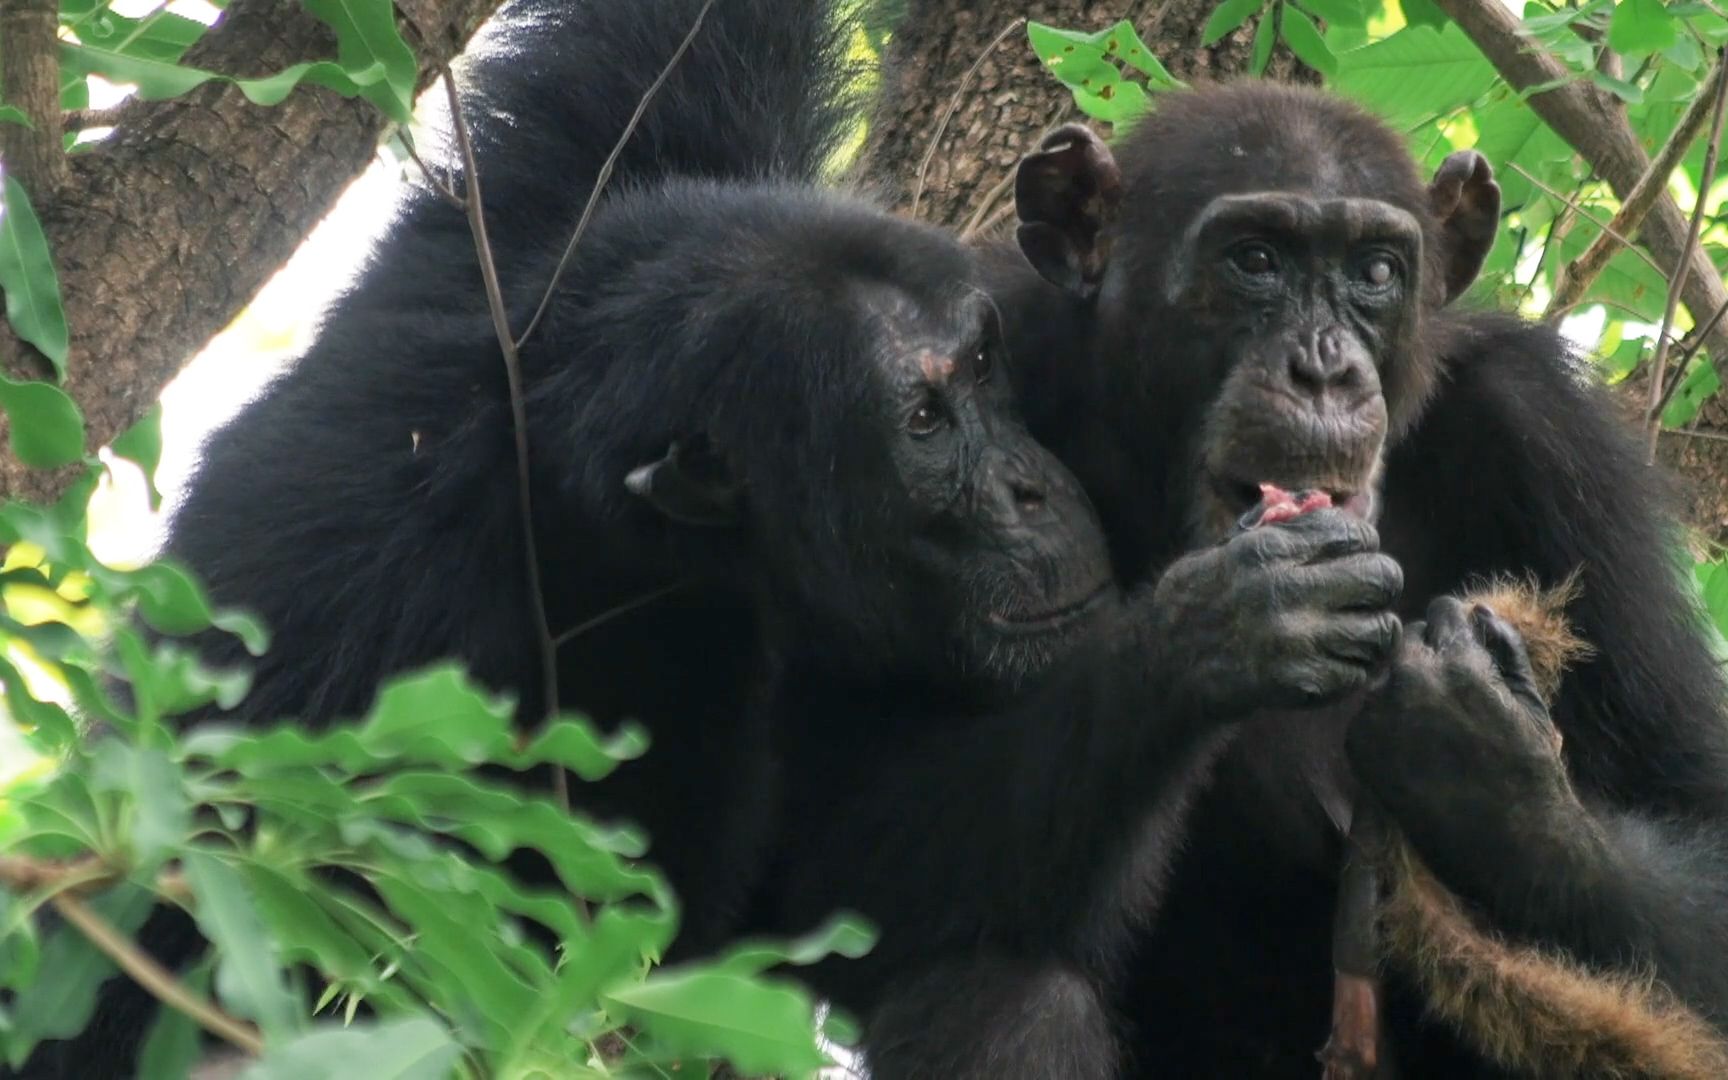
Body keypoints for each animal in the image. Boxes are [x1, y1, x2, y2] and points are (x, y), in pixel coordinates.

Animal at [13, 8, 1410, 1078]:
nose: (1026, 488)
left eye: (986, 365)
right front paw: (1218, 633)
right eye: (923, 421)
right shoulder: (354, 670)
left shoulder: (582, 190)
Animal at [995, 82, 1728, 1071]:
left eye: (1375, 271)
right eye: (1255, 259)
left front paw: (1485, 766)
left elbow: (1696, 802)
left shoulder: (1551, 435)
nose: (1323, 366)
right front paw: (1242, 618)